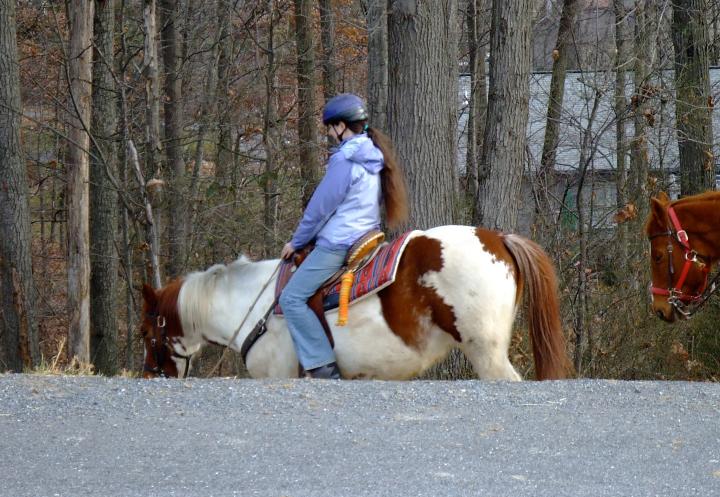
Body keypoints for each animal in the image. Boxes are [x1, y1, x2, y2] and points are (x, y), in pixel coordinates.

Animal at [139, 225, 568, 380]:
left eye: (147, 332)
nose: (151, 375)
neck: (252, 308)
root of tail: (498, 238)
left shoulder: (277, 374)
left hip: (487, 352)